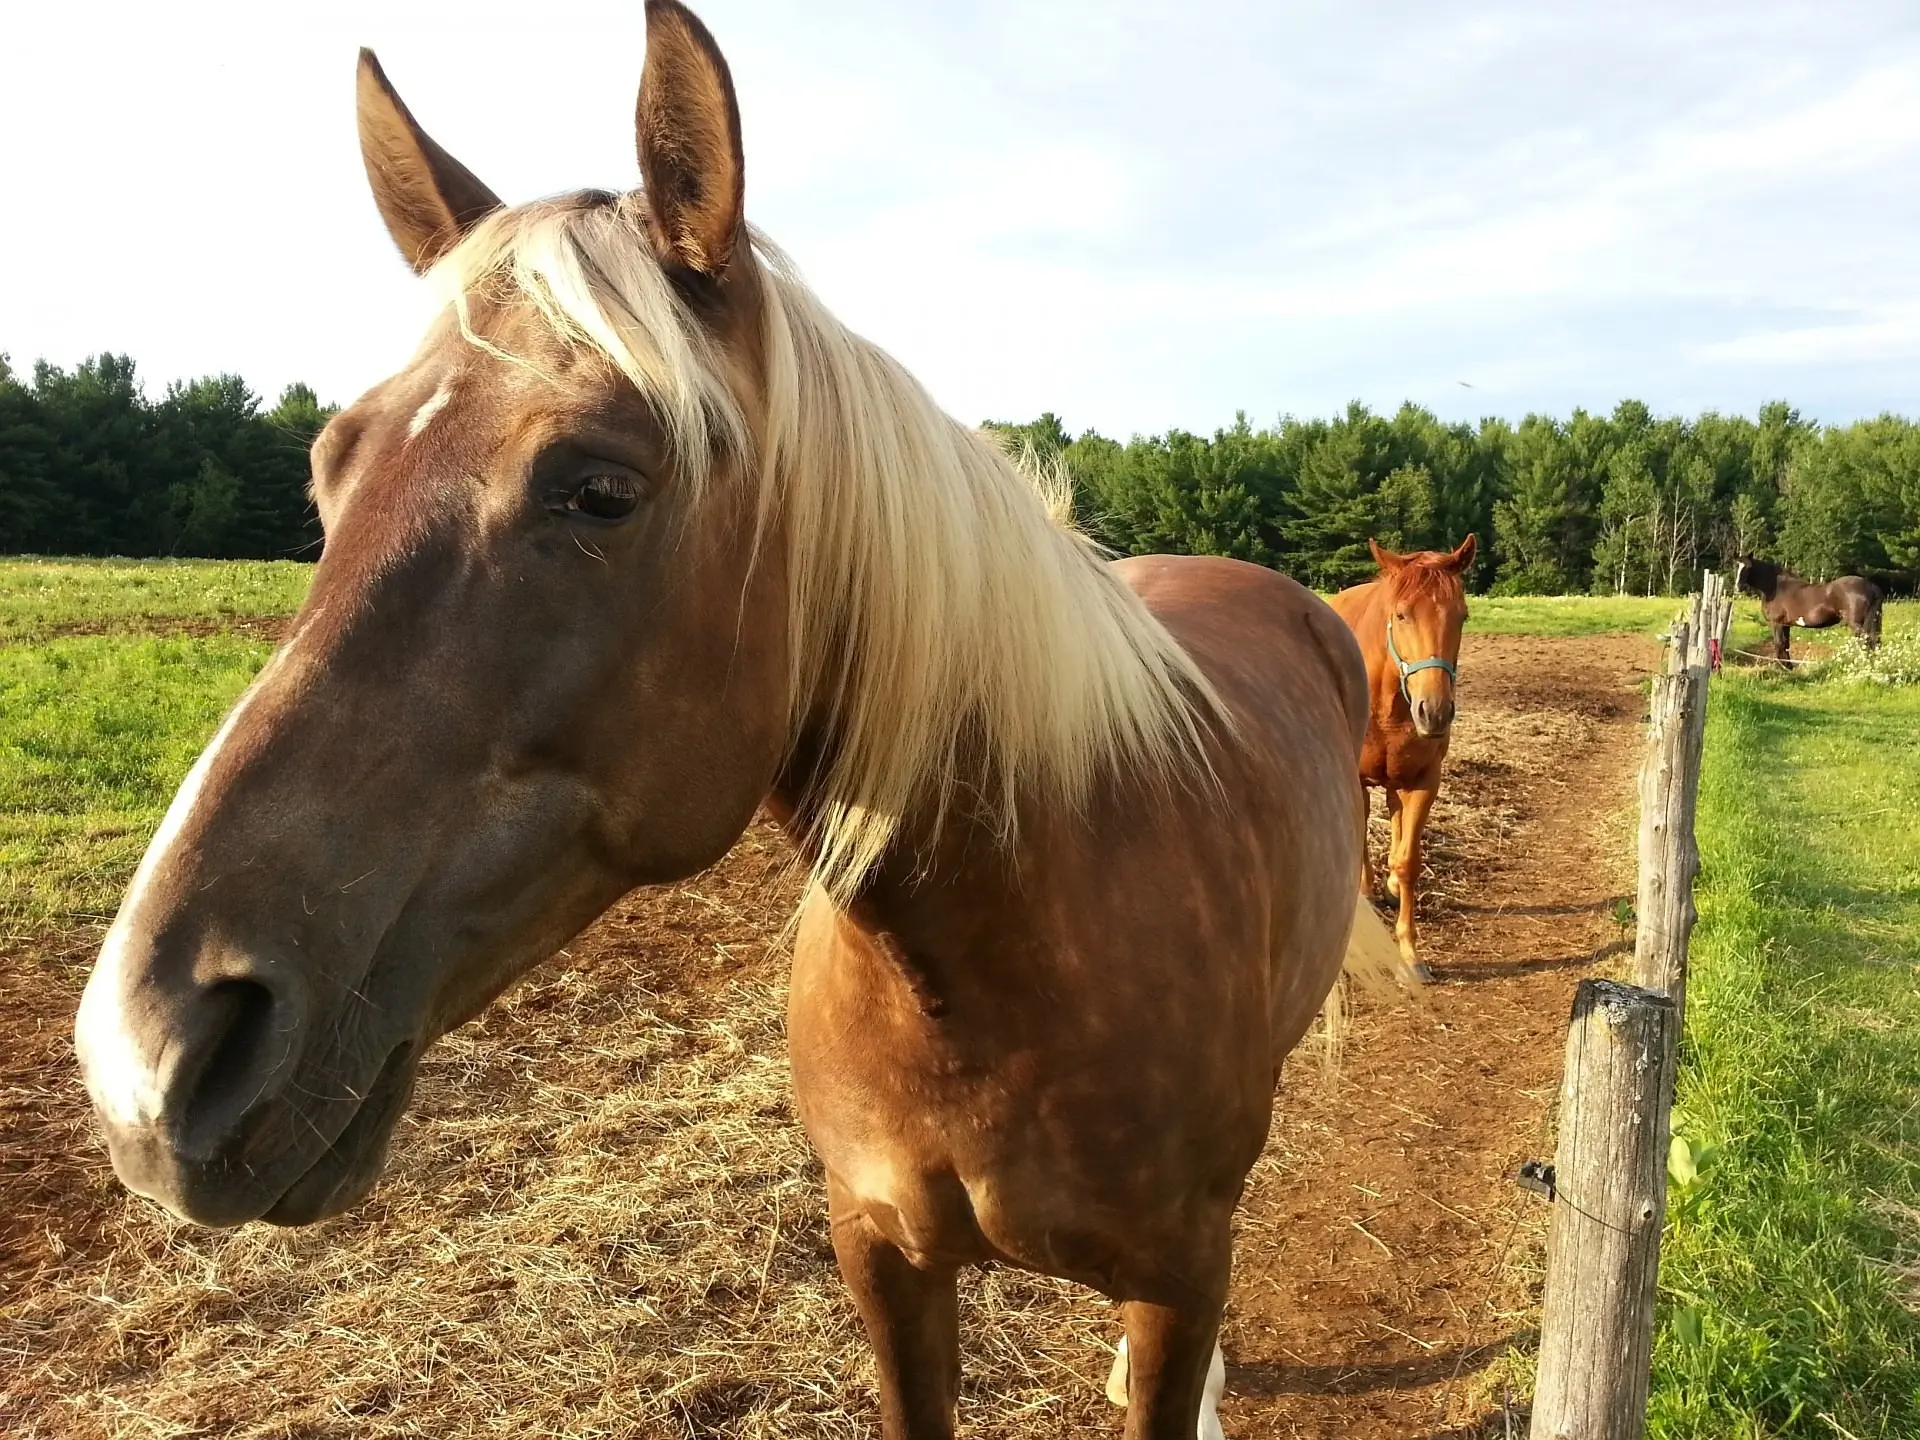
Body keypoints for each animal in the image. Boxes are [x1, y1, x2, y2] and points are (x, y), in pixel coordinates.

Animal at [74, 5, 1405, 1436]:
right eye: (331, 471)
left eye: (600, 489)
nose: (151, 1053)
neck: (1002, 961)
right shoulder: (880, 1253)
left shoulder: (1175, 1273)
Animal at [1328, 537, 1474, 990]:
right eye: (1401, 614)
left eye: (1462, 615)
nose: (1435, 712)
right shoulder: (1355, 780)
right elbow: (1359, 839)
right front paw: (1364, 896)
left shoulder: (1424, 781)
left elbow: (1409, 860)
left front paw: (1409, 955)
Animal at [1735, 556, 1881, 664]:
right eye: (1737, 566)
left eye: (1748, 567)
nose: (1738, 587)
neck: (1776, 588)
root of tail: (1870, 586)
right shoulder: (1786, 624)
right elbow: (1785, 645)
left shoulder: (1777, 623)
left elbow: (1779, 644)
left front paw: (1785, 668)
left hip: (1857, 625)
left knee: (1867, 643)